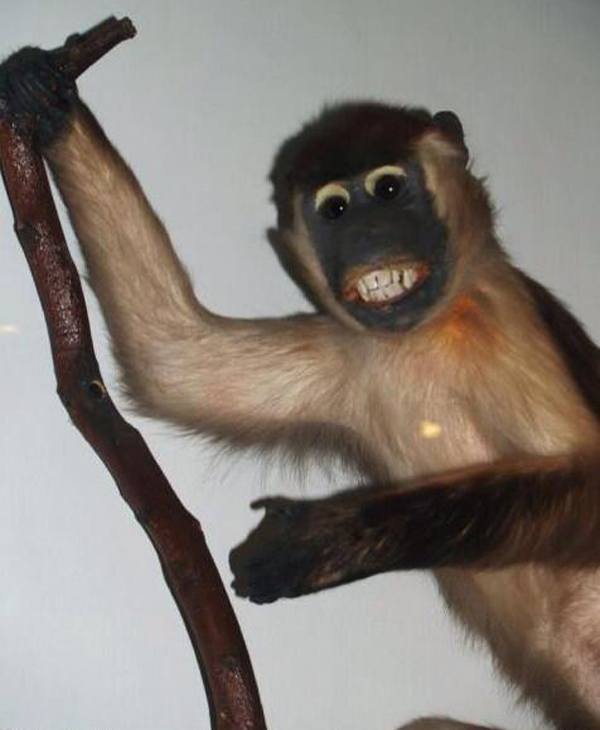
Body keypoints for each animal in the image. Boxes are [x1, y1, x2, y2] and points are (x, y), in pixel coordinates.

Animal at [1, 45, 599, 730]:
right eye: (335, 208)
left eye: (388, 189)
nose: (368, 233)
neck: (428, 332)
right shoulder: (350, 354)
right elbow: (174, 357)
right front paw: (48, 99)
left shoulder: (504, 321)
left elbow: (591, 479)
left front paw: (328, 542)